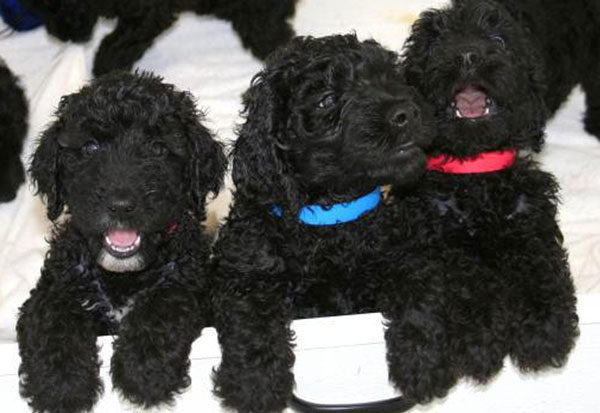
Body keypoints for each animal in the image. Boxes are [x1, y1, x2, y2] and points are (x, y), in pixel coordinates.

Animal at [17, 71, 227, 412]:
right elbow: (53, 318)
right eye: (90, 147)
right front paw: (61, 384)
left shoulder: (188, 281)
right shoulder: (56, 285)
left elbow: (164, 303)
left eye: (158, 148)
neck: (122, 277)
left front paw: (144, 370)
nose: (120, 205)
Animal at [209, 34, 434, 412]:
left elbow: (416, 291)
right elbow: (251, 313)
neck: (331, 220)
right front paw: (254, 383)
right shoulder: (245, 274)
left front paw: (421, 359)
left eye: (390, 77)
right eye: (326, 100)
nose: (407, 113)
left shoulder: (401, 256)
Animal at [384, 0, 580, 400]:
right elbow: (468, 283)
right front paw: (478, 343)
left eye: (499, 41)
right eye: (436, 45)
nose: (468, 56)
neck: (475, 173)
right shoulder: (431, 243)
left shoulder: (530, 220)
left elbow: (544, 267)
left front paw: (543, 331)